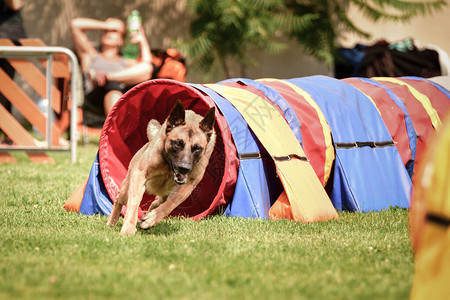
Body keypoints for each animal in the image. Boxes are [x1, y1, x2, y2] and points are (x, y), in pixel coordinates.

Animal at [107, 101, 216, 234]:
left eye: (197, 148)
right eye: (177, 143)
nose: (184, 168)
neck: (169, 168)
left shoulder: (186, 187)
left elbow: (170, 204)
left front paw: (151, 219)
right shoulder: (139, 175)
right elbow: (134, 202)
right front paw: (128, 229)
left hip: (165, 193)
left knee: (157, 202)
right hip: (127, 189)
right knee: (119, 199)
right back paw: (111, 222)